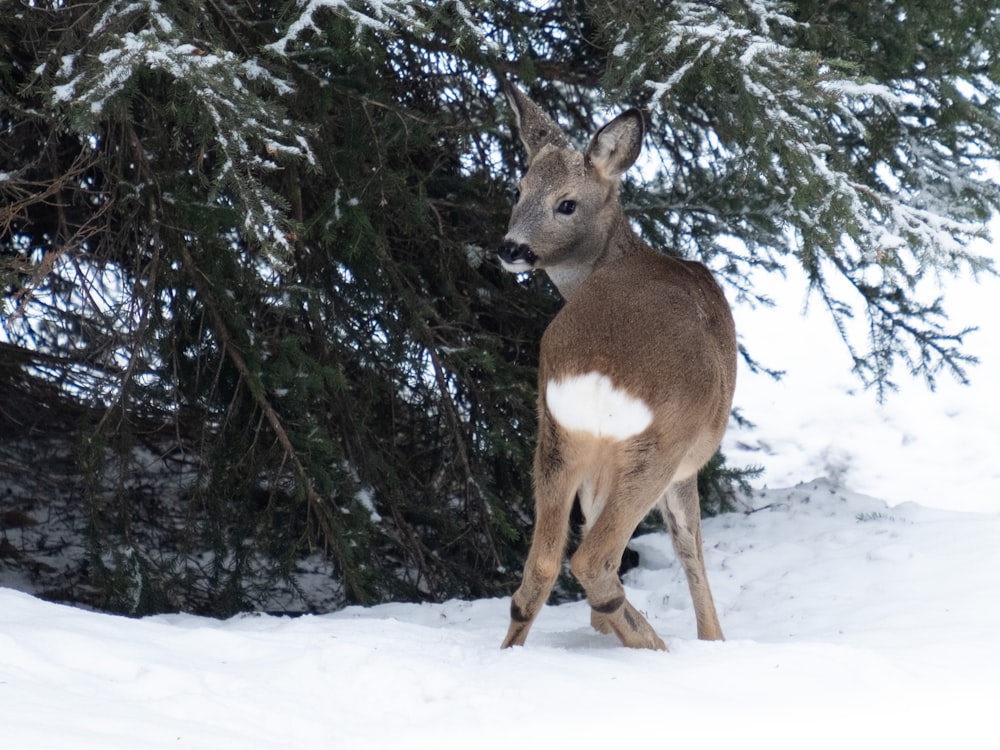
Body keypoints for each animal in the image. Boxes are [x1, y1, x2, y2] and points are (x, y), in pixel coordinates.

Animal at [498, 79, 736, 648]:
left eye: (566, 203)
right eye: (518, 190)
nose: (511, 248)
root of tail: (595, 376)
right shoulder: (688, 460)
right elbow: (690, 544)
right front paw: (715, 639)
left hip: (555, 437)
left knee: (539, 568)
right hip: (657, 446)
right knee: (593, 560)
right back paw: (655, 646)